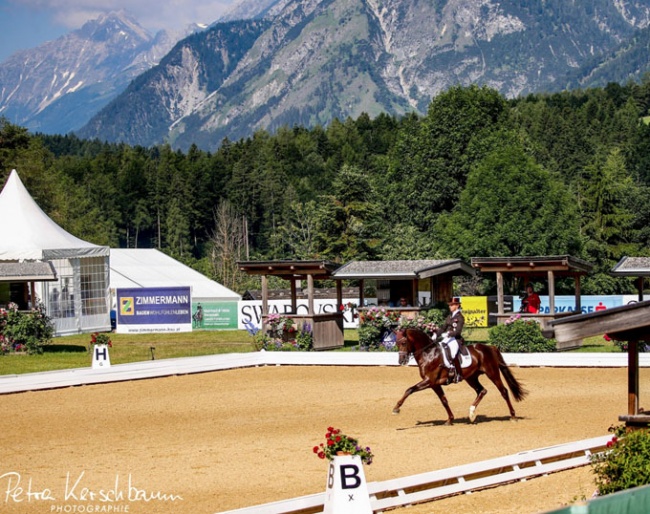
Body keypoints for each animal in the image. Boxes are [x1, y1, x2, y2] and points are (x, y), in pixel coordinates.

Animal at [390, 328, 528, 424]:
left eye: (404, 342)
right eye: (396, 343)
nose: (401, 361)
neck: (429, 354)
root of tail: (490, 347)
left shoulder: (429, 381)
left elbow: (409, 389)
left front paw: (396, 408)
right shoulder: (434, 384)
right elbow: (444, 400)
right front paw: (450, 419)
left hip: (492, 373)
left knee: (503, 391)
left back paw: (513, 416)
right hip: (471, 378)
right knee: (482, 391)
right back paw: (471, 414)